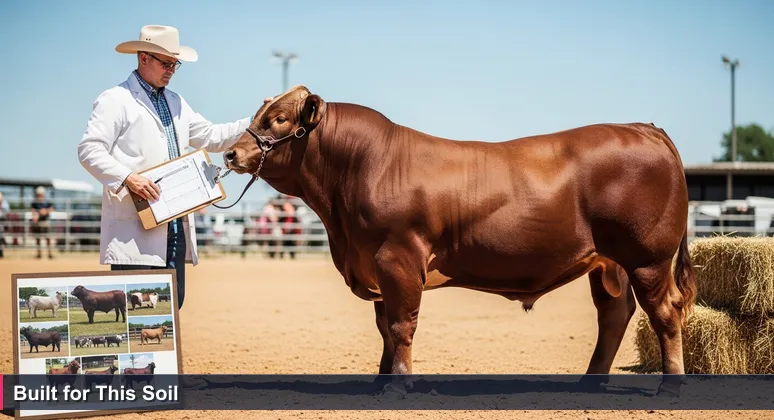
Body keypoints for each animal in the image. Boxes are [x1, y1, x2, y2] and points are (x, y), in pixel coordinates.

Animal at [222, 86, 697, 397]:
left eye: (279, 120)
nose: (230, 153)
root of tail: (644, 128)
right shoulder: (374, 264)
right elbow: (384, 328)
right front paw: (381, 381)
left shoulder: (397, 257)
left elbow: (402, 325)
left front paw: (399, 387)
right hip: (608, 263)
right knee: (614, 314)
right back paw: (588, 384)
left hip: (648, 258)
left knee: (665, 313)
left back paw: (669, 388)